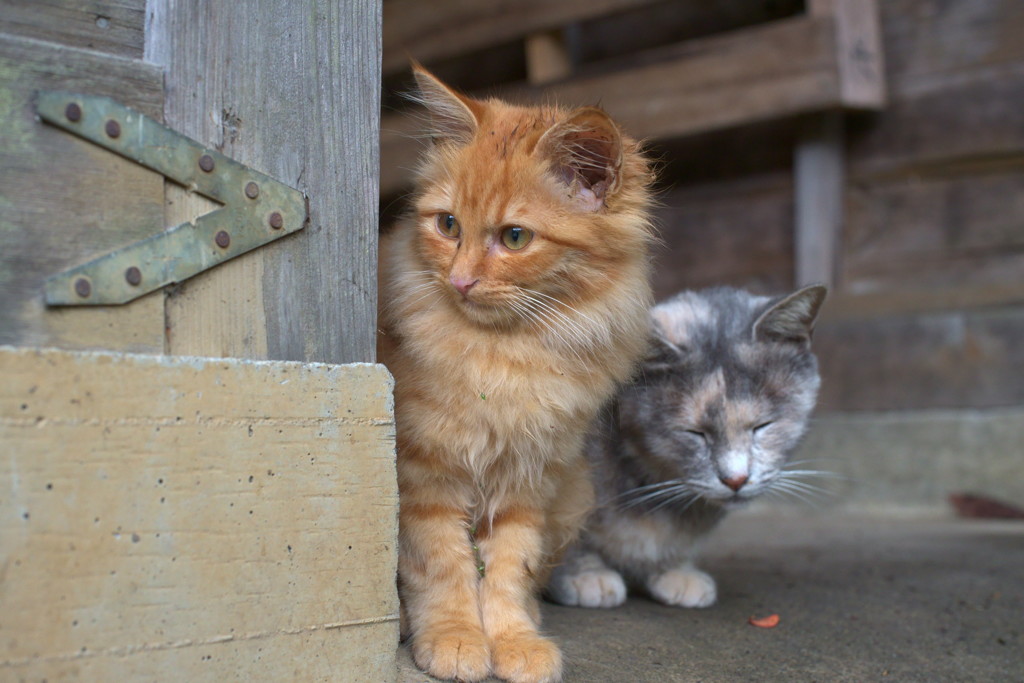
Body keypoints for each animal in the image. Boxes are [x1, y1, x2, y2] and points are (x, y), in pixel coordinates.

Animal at [378, 65, 655, 683]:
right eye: (448, 225)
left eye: (514, 237)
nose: (459, 281)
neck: (506, 358)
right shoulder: (425, 477)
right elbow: (443, 568)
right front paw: (455, 639)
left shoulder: (528, 481)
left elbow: (508, 570)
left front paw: (514, 641)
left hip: (573, 492)